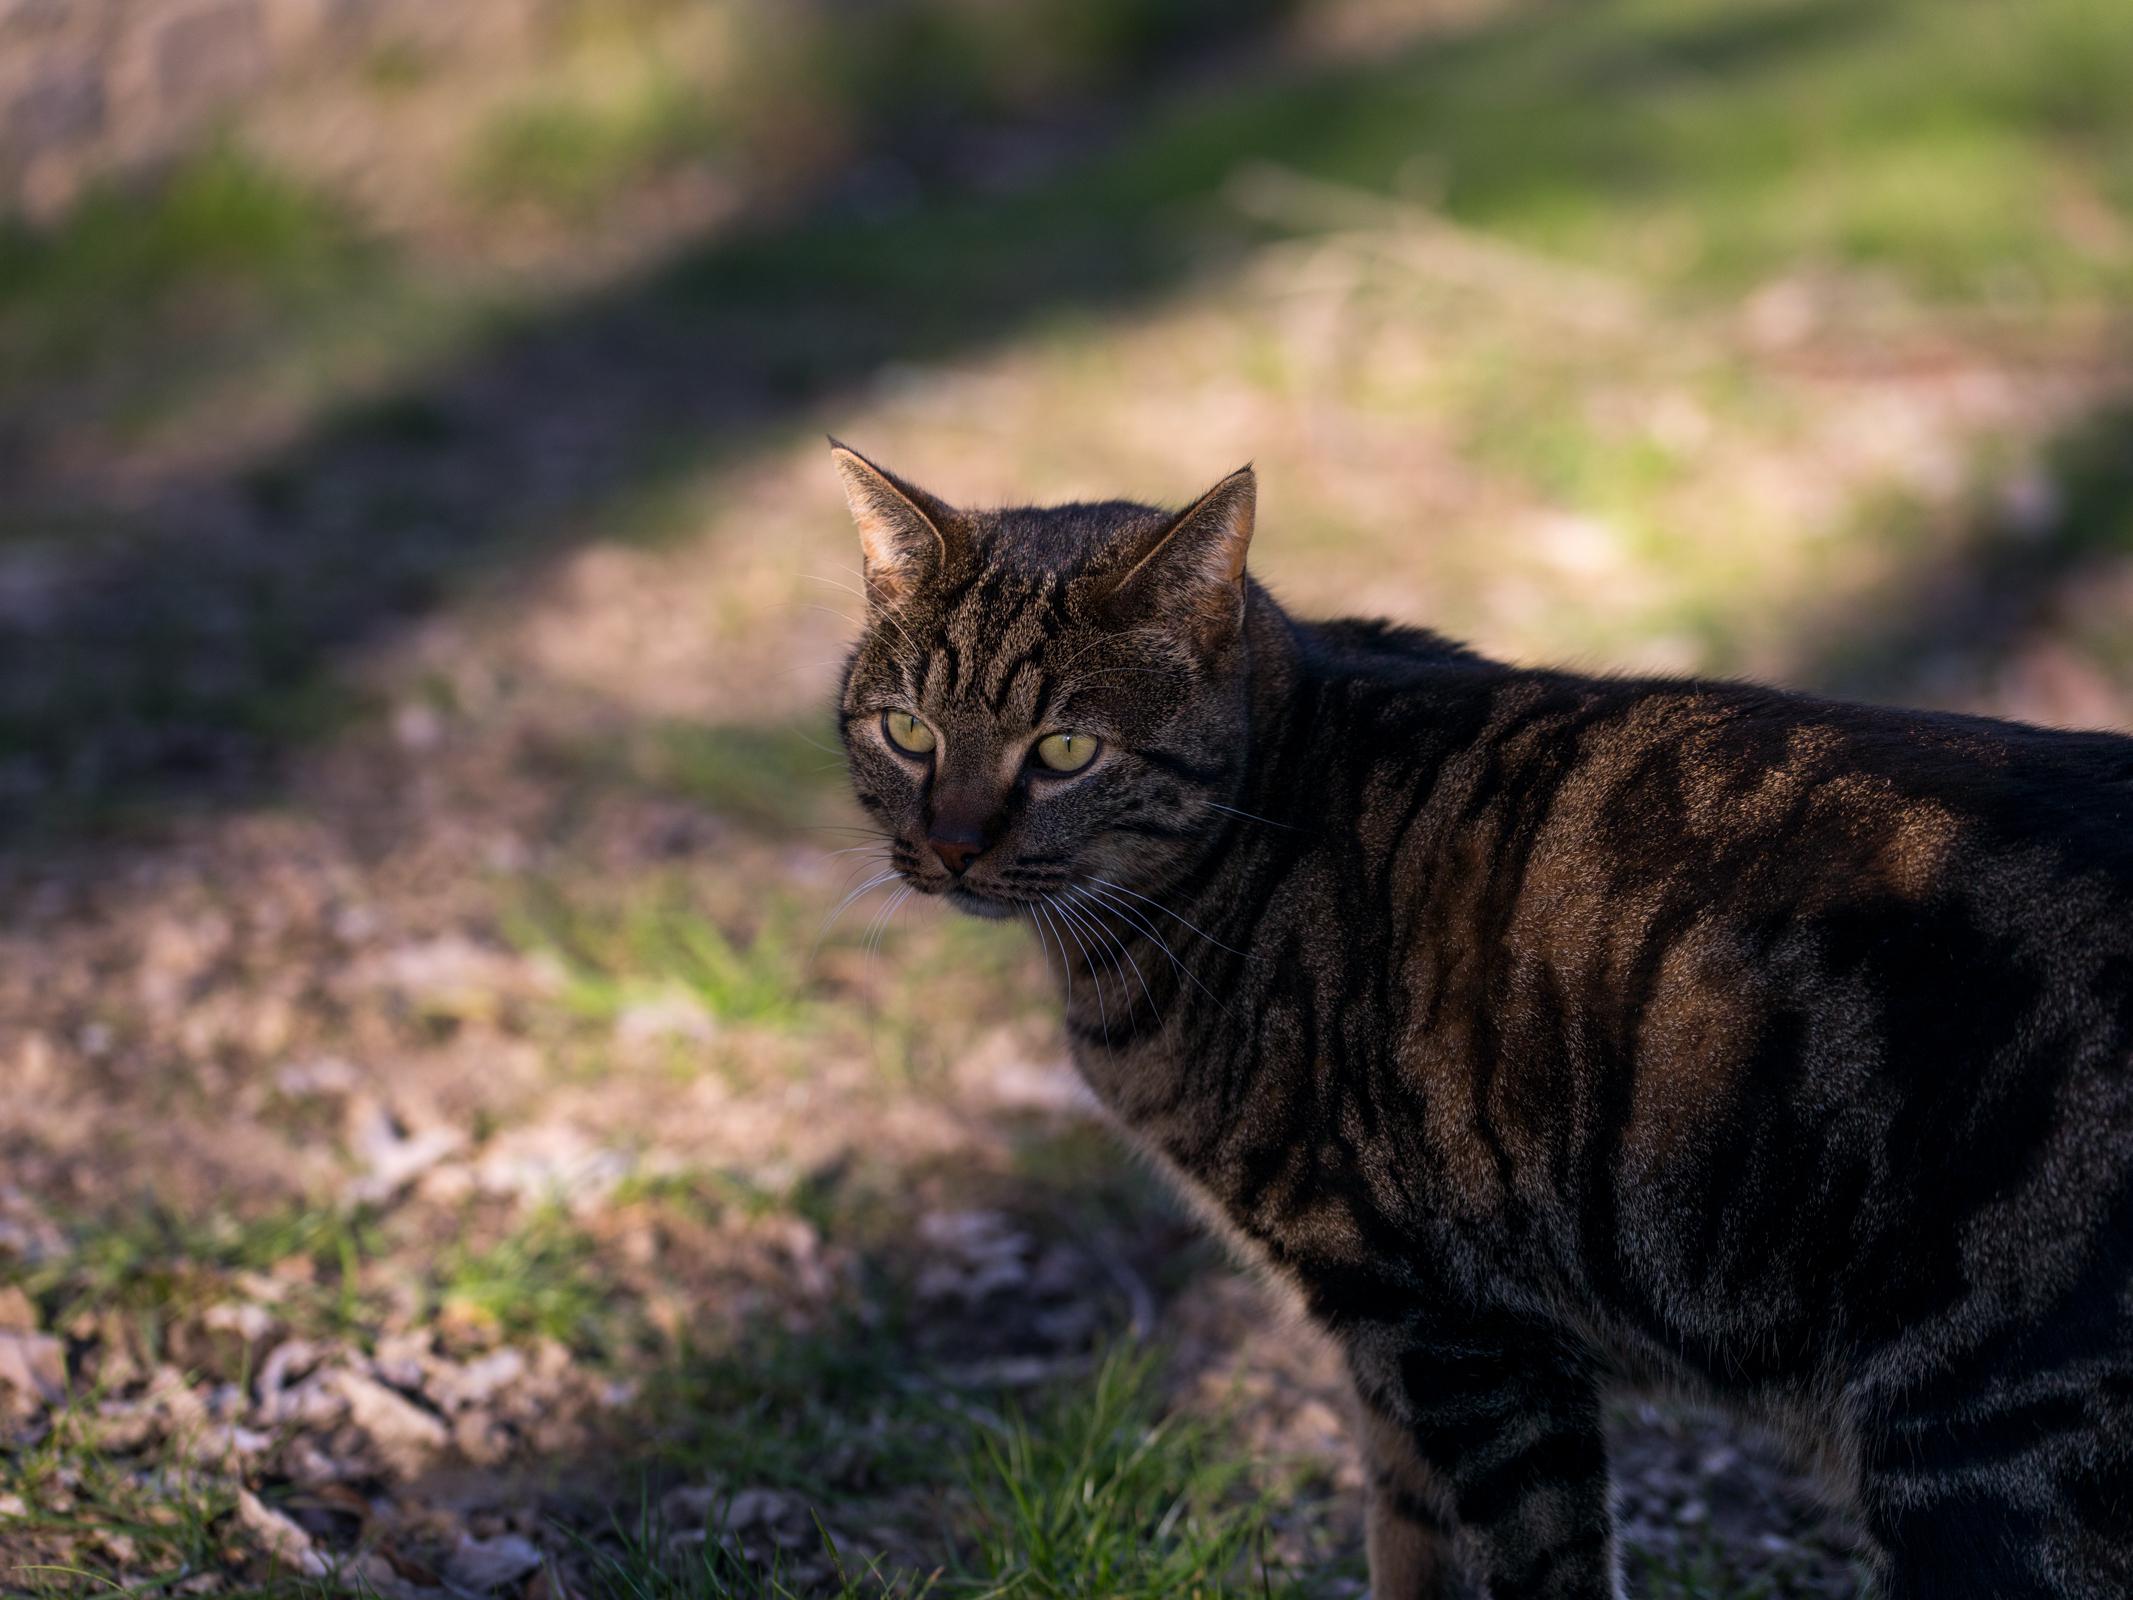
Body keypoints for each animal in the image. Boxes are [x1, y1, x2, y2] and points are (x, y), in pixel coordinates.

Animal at [823, 441, 2133, 1600]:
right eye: (908, 731)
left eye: (1063, 750)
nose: (948, 845)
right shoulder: (1388, 1354)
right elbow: (1408, 1547)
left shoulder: (1462, 1332)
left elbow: (1534, 1564)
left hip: (1992, 1445)